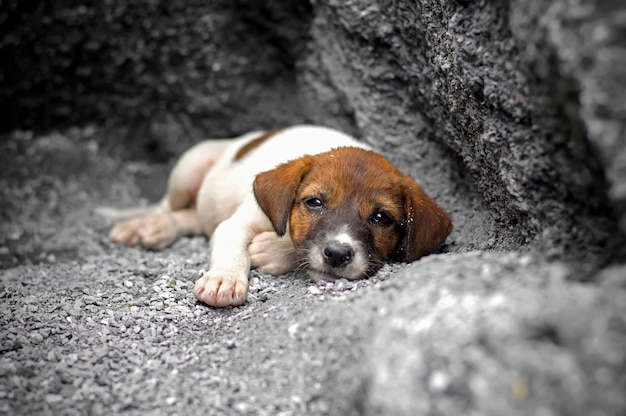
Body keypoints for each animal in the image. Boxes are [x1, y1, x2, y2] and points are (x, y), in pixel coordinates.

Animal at [96, 125, 448, 308]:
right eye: (314, 202)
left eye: (381, 218)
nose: (337, 254)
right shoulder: (237, 223)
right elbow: (233, 248)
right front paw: (224, 279)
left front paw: (272, 250)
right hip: (188, 168)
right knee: (168, 207)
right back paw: (143, 227)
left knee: (192, 217)